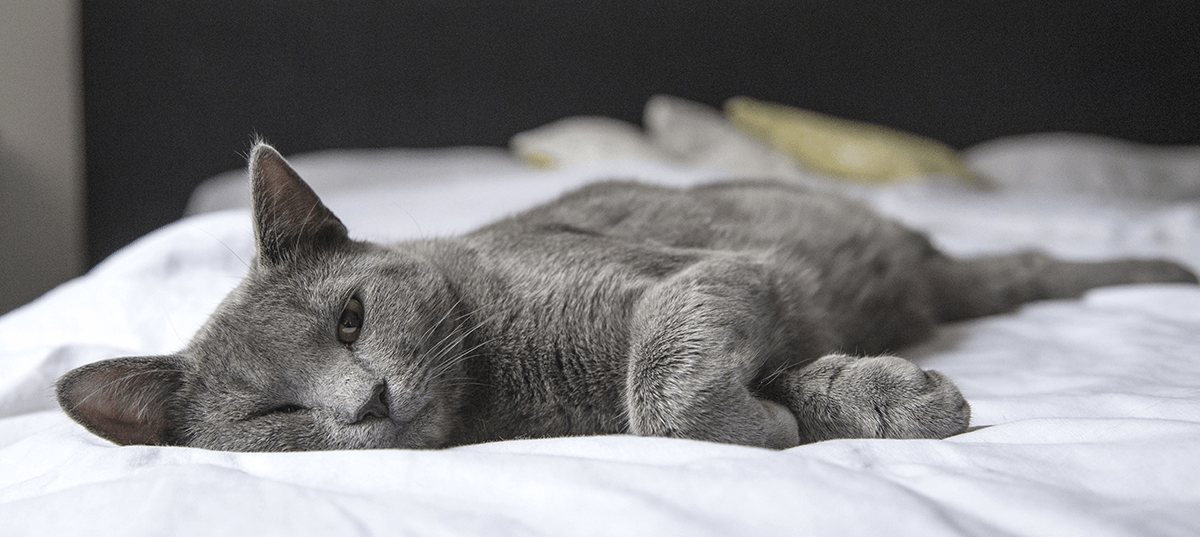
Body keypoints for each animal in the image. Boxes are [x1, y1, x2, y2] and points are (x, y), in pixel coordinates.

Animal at [56, 142, 1200, 448]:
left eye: (350, 318)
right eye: (273, 415)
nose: (366, 401)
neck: (509, 393)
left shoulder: (695, 276)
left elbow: (661, 384)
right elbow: (720, 391)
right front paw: (845, 404)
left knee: (1033, 265)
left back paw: (1166, 271)